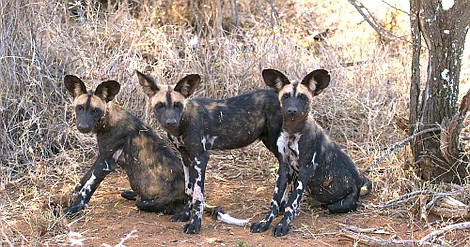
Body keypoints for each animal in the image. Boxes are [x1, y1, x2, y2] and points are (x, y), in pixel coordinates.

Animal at [136, 70, 282, 233]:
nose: (171, 122)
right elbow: (189, 190)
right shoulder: (186, 157)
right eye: (160, 105)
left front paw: (195, 225)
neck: (183, 122)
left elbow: (198, 196)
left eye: (177, 105)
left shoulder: (200, 158)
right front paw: (185, 215)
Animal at [252, 69, 372, 235]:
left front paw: (283, 225)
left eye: (303, 97)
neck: (292, 132)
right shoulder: (284, 168)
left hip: (339, 204)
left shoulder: (305, 170)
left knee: (334, 206)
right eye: (286, 96)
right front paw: (264, 223)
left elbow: (292, 204)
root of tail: (359, 181)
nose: (292, 110)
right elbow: (274, 202)